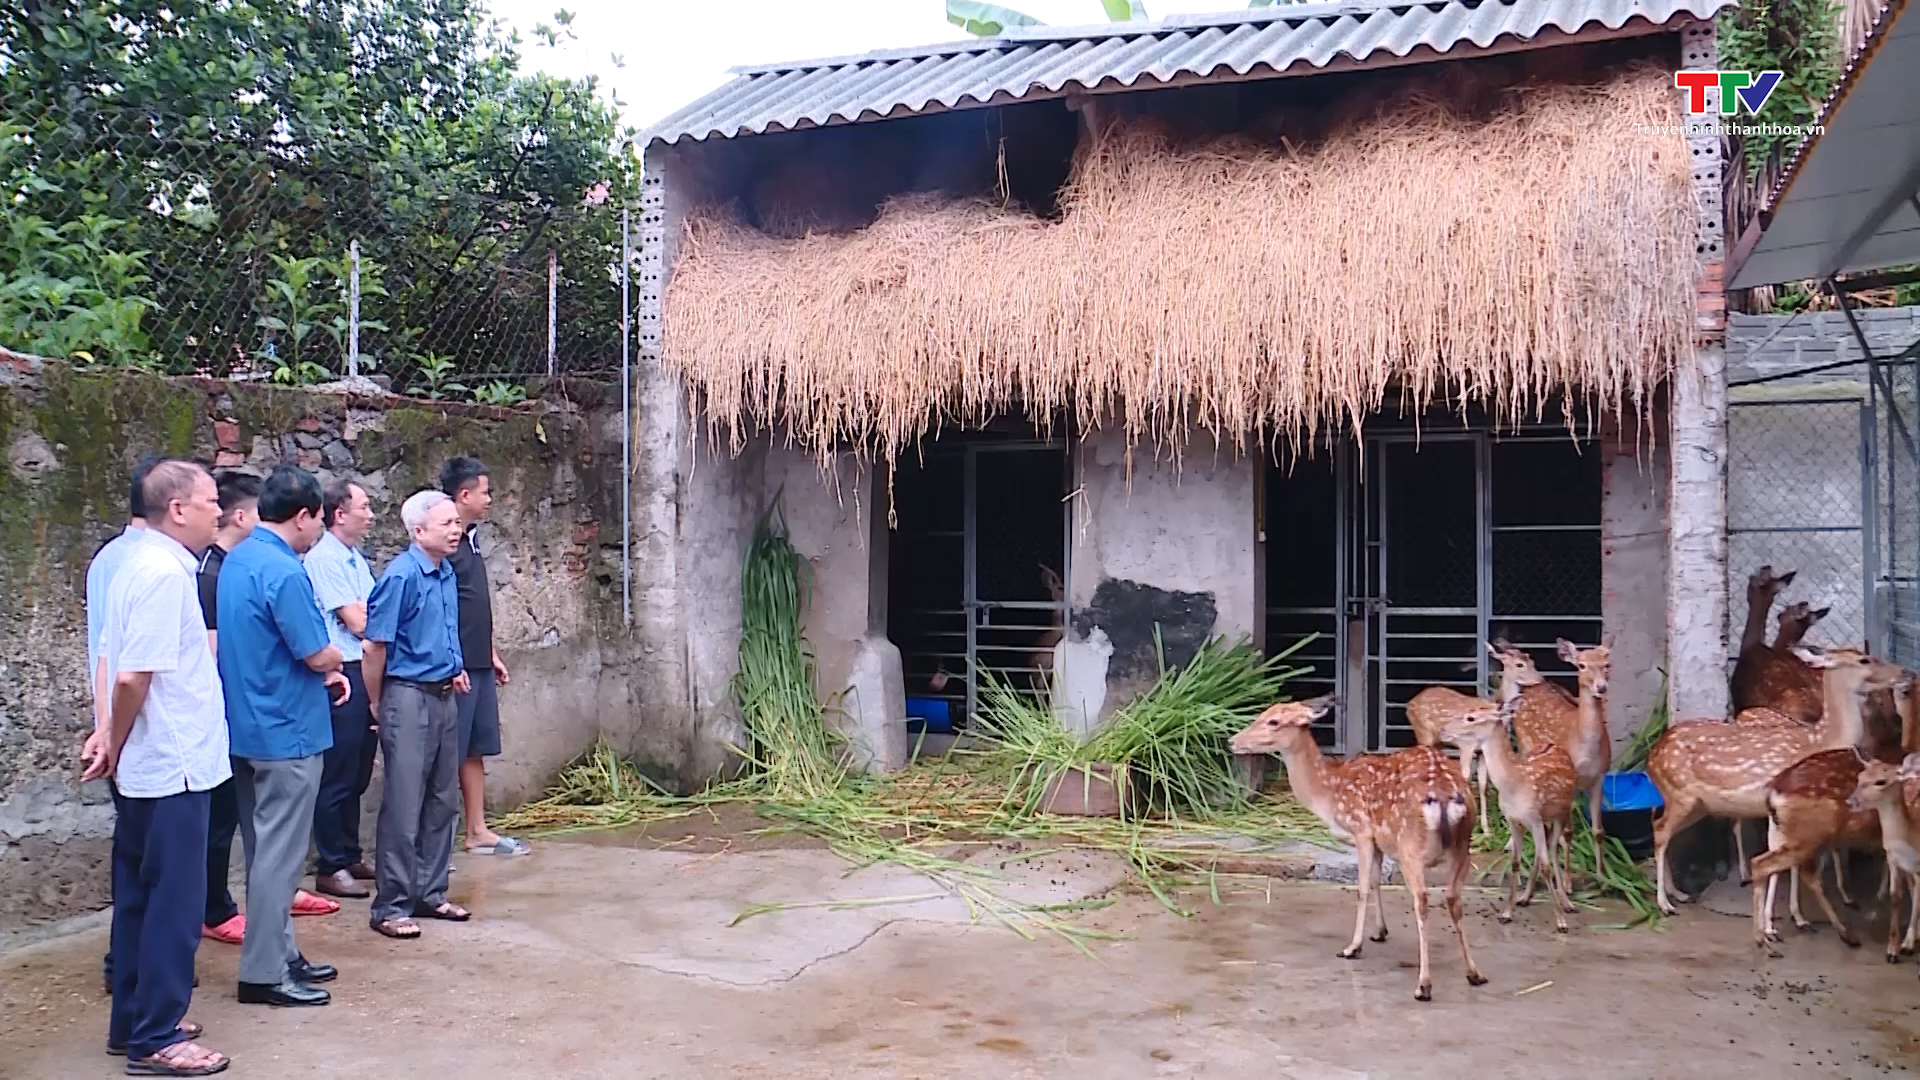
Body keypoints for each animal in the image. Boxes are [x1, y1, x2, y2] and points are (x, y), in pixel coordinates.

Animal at [1228, 691, 1482, 999]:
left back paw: (1423, 985)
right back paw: (1474, 973)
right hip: (1463, 846)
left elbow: (1361, 888)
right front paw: (1380, 931)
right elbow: (1376, 880)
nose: (1232, 741)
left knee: (1422, 900)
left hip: (1411, 847)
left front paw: (1352, 947)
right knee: (1453, 898)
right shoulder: (1379, 839)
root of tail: (1445, 796)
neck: (1329, 794)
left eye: (1273, 721)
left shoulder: (1361, 829)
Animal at [1651, 641, 1904, 910]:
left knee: (1662, 829)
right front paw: (1792, 913)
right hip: (1680, 793)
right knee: (1661, 831)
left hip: (1696, 804)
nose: (1904, 673)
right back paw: (1665, 904)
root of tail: (1651, 757)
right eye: (1864, 660)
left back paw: (1678, 893)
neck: (1819, 741)